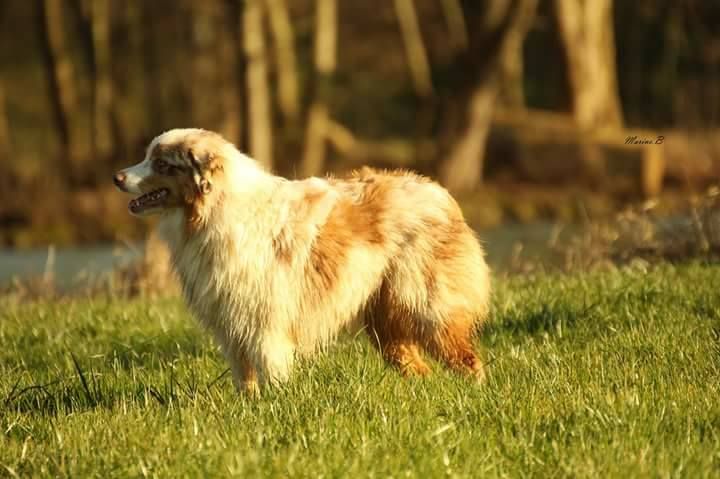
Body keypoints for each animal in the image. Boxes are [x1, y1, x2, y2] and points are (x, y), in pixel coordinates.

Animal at [115, 128, 492, 394]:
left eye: (162, 164)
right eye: (147, 157)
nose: (117, 178)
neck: (214, 210)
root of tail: (440, 192)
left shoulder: (265, 324)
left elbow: (271, 371)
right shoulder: (232, 326)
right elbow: (244, 379)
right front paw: (248, 408)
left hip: (427, 306)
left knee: (468, 359)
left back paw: (475, 393)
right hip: (386, 320)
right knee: (417, 367)